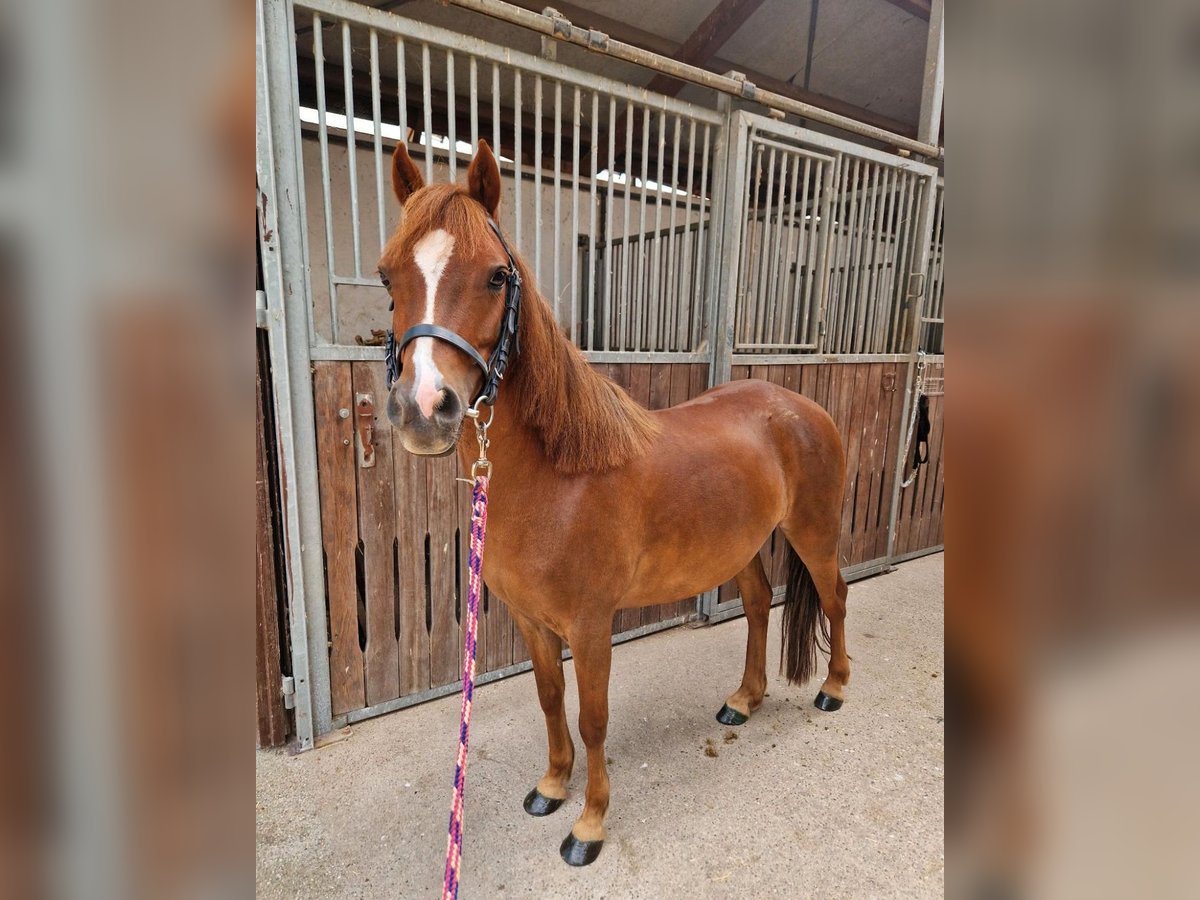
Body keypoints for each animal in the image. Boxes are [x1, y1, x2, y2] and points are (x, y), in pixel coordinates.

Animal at [379, 139, 849, 868]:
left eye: (495, 277)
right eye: (387, 278)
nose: (424, 410)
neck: (559, 479)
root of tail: (797, 407)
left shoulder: (592, 625)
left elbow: (594, 717)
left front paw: (590, 825)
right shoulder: (534, 622)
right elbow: (550, 700)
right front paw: (551, 787)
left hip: (815, 532)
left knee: (834, 597)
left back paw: (833, 689)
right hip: (741, 544)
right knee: (755, 605)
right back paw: (743, 700)